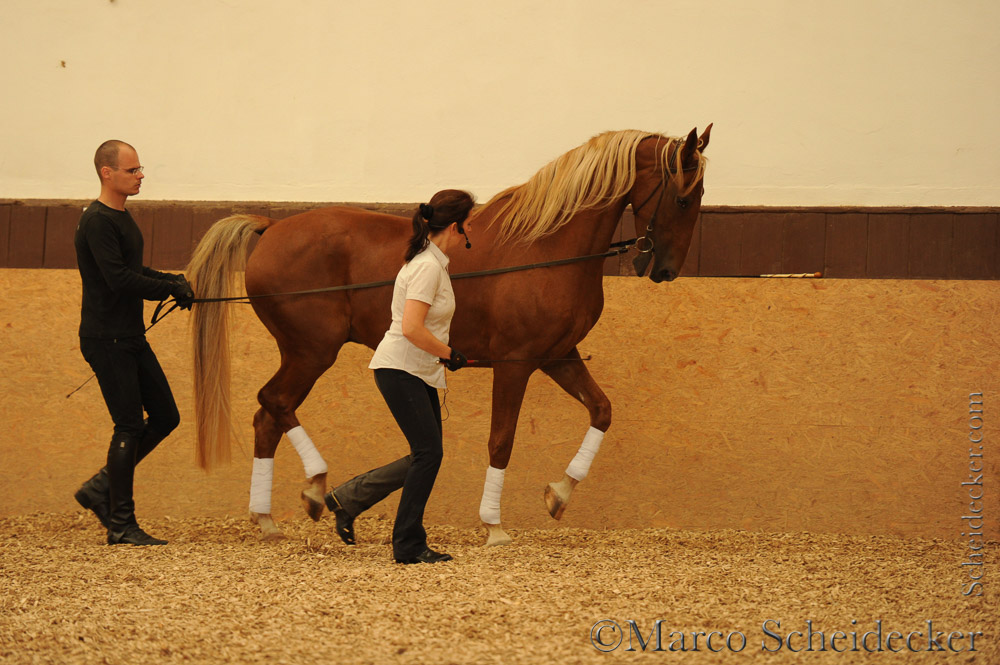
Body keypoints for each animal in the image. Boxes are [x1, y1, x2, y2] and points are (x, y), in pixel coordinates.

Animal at [186, 126, 711, 544]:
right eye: (684, 198)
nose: (665, 270)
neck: (547, 249)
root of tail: (271, 226)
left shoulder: (558, 356)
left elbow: (601, 411)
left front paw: (559, 494)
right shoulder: (516, 363)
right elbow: (501, 440)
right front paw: (494, 526)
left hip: (303, 354)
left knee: (267, 417)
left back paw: (270, 519)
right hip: (311, 351)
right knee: (274, 404)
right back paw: (314, 486)